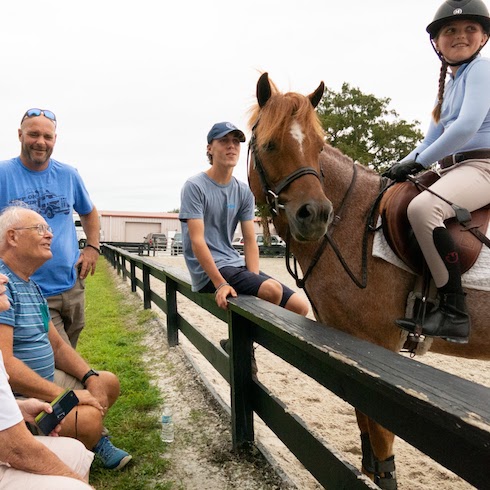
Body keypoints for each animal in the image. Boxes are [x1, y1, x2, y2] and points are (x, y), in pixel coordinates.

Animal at [249, 72, 490, 490]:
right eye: (269, 144)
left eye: (318, 147)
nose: (316, 215)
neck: (356, 221)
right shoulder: (352, 344)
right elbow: (367, 438)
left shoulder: (378, 347)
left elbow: (381, 442)